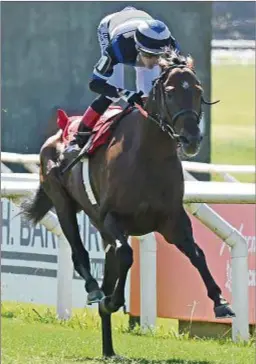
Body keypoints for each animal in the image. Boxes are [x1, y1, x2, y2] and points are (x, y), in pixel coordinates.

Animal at [23, 53, 235, 356]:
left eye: (198, 90)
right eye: (171, 92)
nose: (192, 139)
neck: (149, 155)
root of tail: (56, 135)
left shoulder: (172, 219)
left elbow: (197, 254)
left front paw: (221, 302)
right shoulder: (112, 218)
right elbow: (126, 254)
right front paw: (112, 300)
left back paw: (109, 349)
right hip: (63, 204)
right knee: (79, 252)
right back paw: (95, 291)